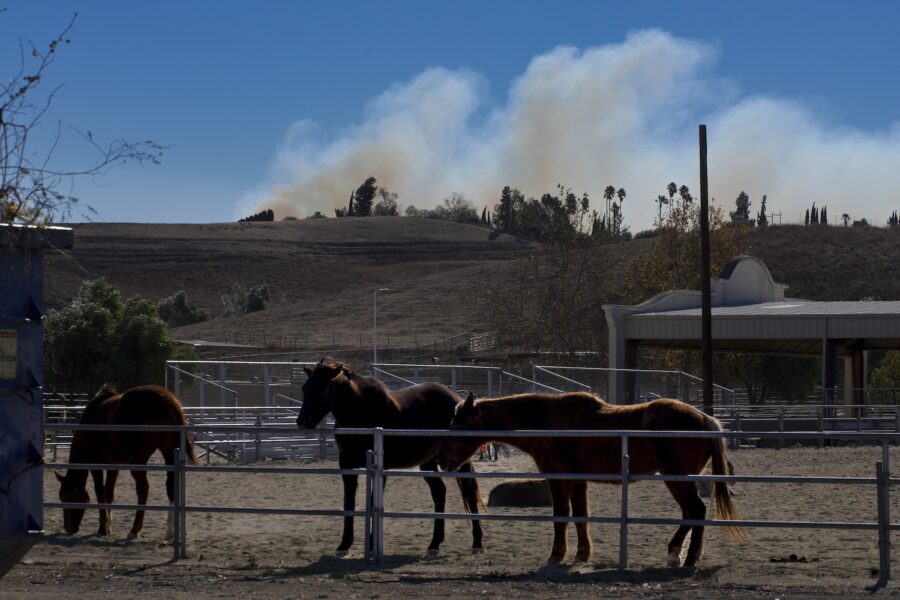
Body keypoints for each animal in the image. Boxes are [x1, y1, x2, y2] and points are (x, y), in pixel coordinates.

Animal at [57, 384, 198, 540]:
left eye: (63, 496)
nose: (68, 528)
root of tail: (163, 399)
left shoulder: (95, 463)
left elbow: (100, 492)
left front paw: (103, 528)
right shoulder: (113, 465)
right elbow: (108, 492)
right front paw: (108, 526)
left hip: (139, 461)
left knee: (143, 489)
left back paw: (134, 530)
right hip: (168, 451)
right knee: (170, 487)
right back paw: (169, 532)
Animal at [298, 358, 486, 556]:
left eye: (323, 387)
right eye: (304, 387)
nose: (302, 421)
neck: (362, 411)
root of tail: (458, 400)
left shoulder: (381, 467)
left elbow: (373, 501)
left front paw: (371, 544)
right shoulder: (347, 465)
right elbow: (348, 503)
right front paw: (344, 544)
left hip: (460, 460)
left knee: (469, 491)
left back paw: (477, 542)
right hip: (428, 462)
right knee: (439, 492)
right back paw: (434, 543)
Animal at [440, 392, 740, 568]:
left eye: (458, 425)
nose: (443, 461)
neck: (548, 420)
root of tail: (704, 418)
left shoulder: (559, 479)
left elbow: (561, 516)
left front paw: (556, 555)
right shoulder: (578, 480)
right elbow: (581, 517)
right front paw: (582, 555)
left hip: (677, 479)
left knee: (696, 511)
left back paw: (689, 558)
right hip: (677, 480)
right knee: (690, 512)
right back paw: (675, 552)